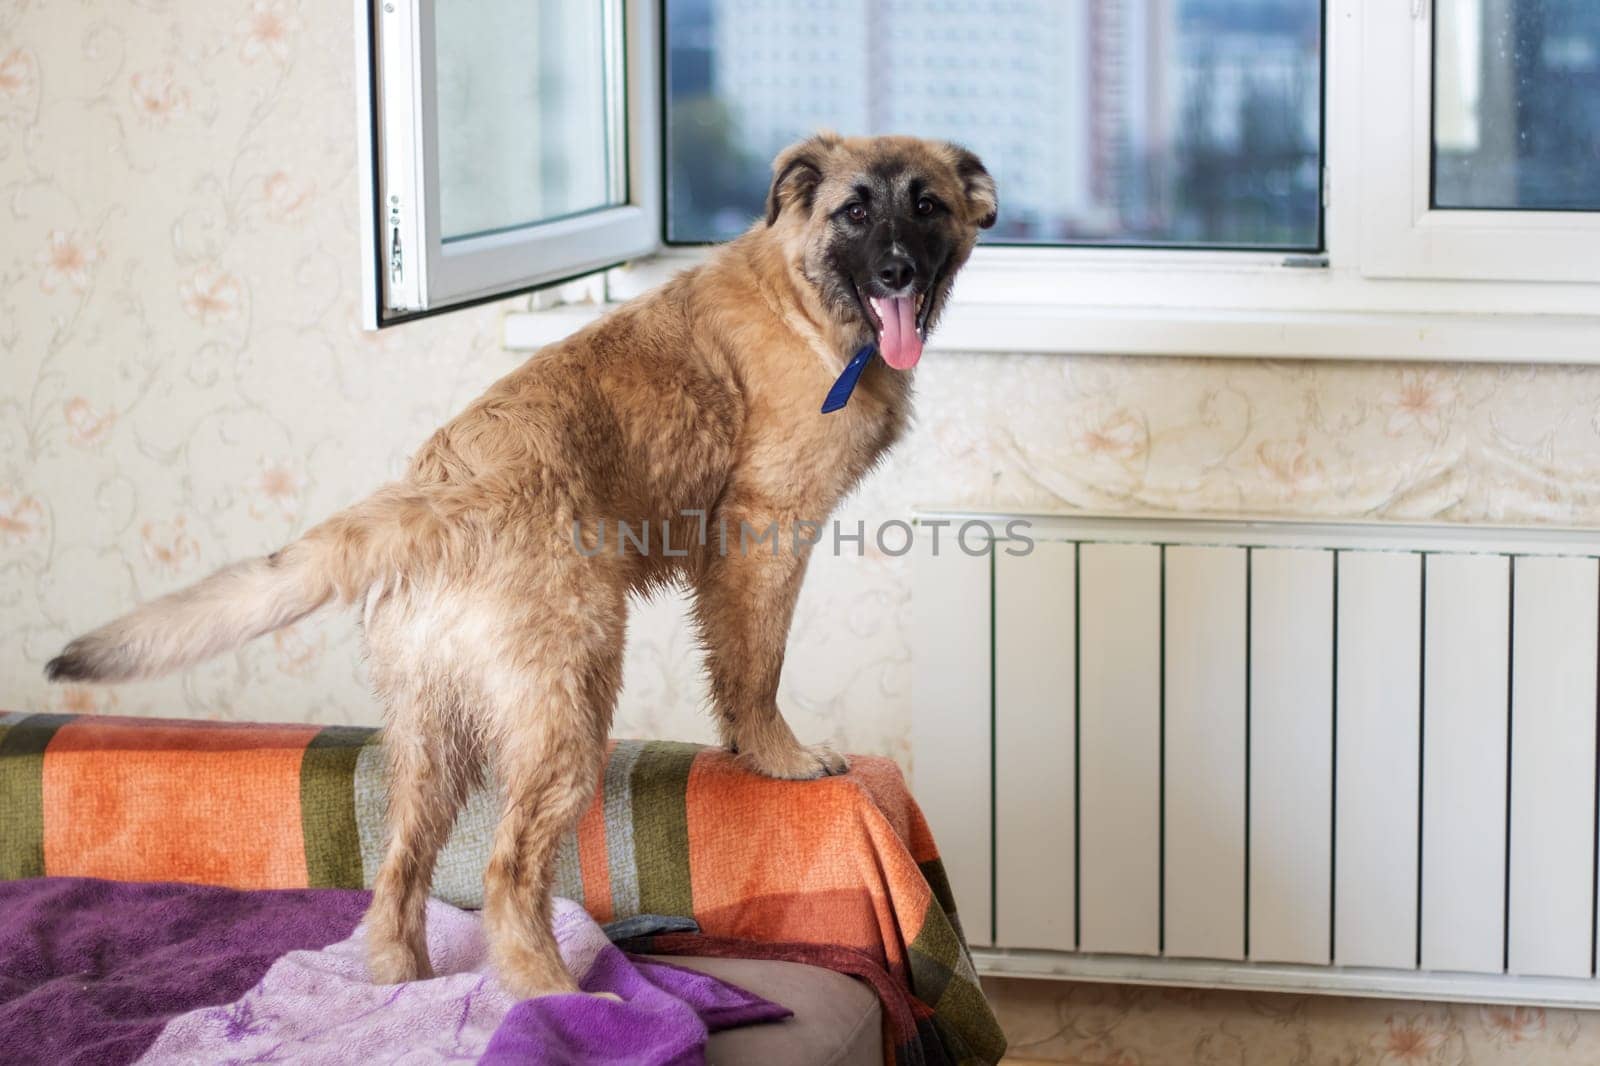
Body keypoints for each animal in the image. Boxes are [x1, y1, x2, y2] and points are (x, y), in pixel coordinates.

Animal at [46, 135, 998, 998]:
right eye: (855, 212)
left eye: (927, 205)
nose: (898, 274)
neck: (802, 295)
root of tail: (437, 500)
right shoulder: (761, 537)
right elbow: (754, 666)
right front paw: (779, 758)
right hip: (568, 709)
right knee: (508, 875)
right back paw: (560, 1001)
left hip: (432, 741)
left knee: (399, 877)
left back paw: (409, 987)